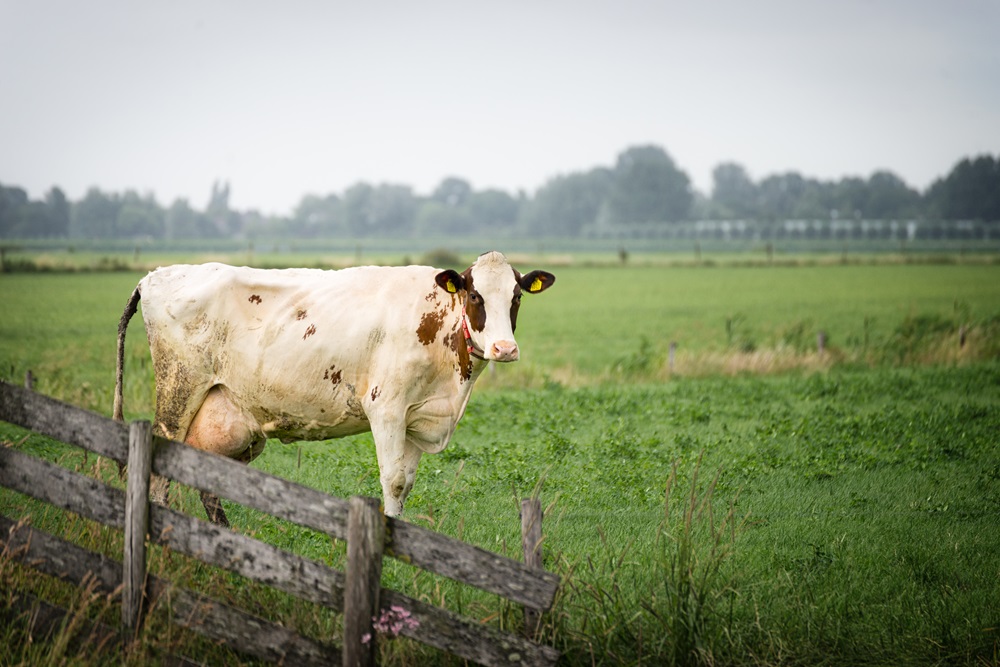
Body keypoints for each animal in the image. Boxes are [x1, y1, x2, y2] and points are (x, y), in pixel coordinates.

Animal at [115, 250, 564, 528]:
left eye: (516, 296)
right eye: (474, 295)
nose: (505, 348)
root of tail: (156, 274)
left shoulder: (420, 417)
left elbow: (407, 483)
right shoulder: (387, 408)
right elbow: (393, 480)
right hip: (177, 395)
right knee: (159, 472)